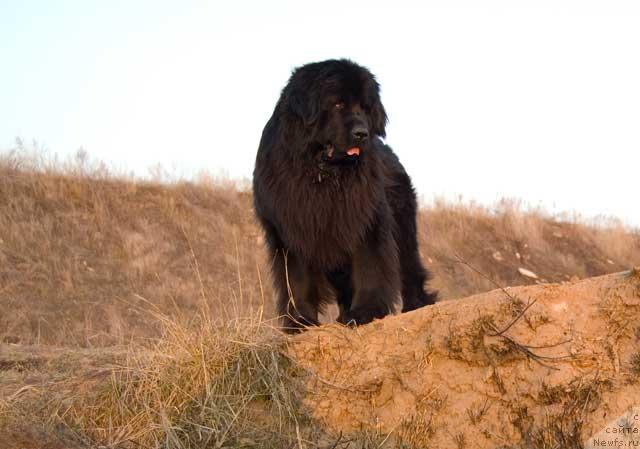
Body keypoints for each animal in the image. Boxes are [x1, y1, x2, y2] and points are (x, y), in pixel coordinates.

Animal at [252, 59, 438, 330]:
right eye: (338, 104)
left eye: (365, 107)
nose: (362, 133)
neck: (324, 173)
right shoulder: (291, 226)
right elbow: (296, 278)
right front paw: (300, 321)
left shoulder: (366, 220)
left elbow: (369, 266)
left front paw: (365, 312)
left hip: (403, 228)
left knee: (409, 269)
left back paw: (416, 305)